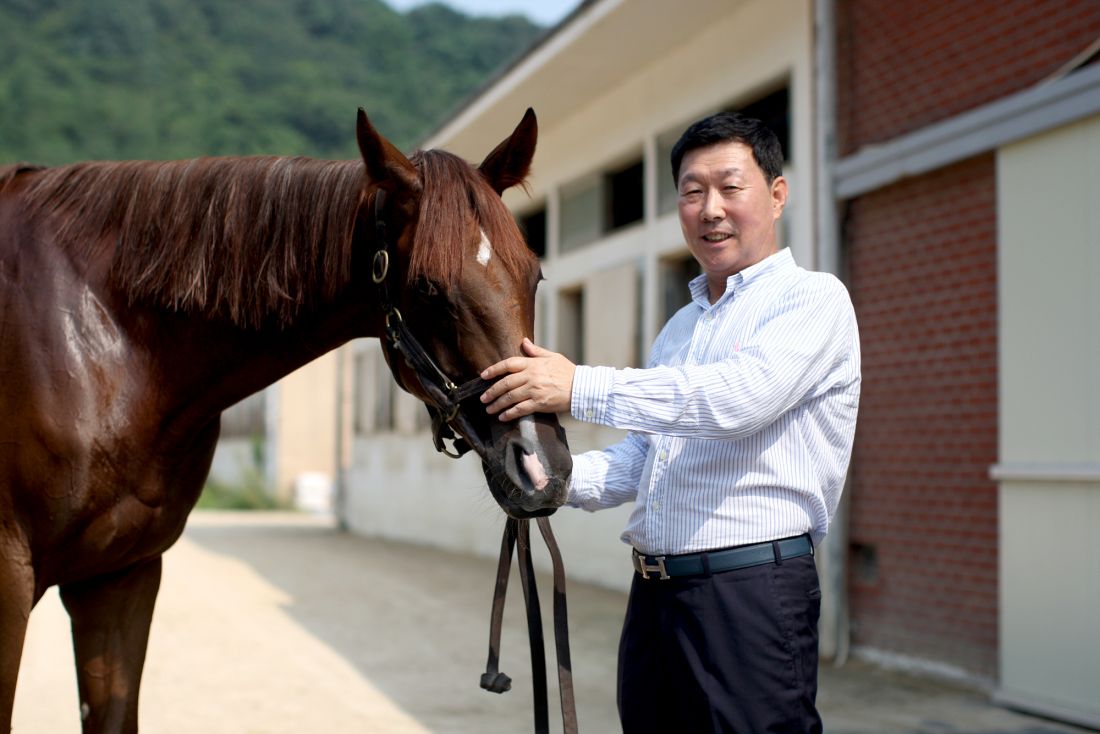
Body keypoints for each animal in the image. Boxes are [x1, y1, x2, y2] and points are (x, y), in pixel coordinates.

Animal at [0, 106, 567, 730]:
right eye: (426, 287)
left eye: (535, 275)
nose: (542, 468)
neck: (105, 344)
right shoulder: (10, 581)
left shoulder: (121, 576)